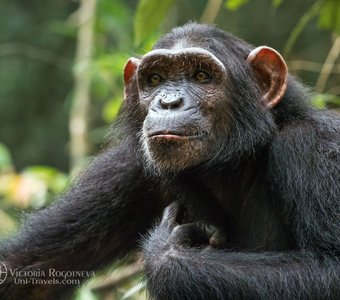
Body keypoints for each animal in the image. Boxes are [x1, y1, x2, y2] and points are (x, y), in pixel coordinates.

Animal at [0, 23, 340, 300]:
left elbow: (329, 271)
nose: (168, 101)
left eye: (201, 76)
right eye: (155, 78)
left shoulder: (314, 146)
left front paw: (166, 251)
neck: (231, 165)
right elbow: (26, 271)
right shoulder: (129, 166)